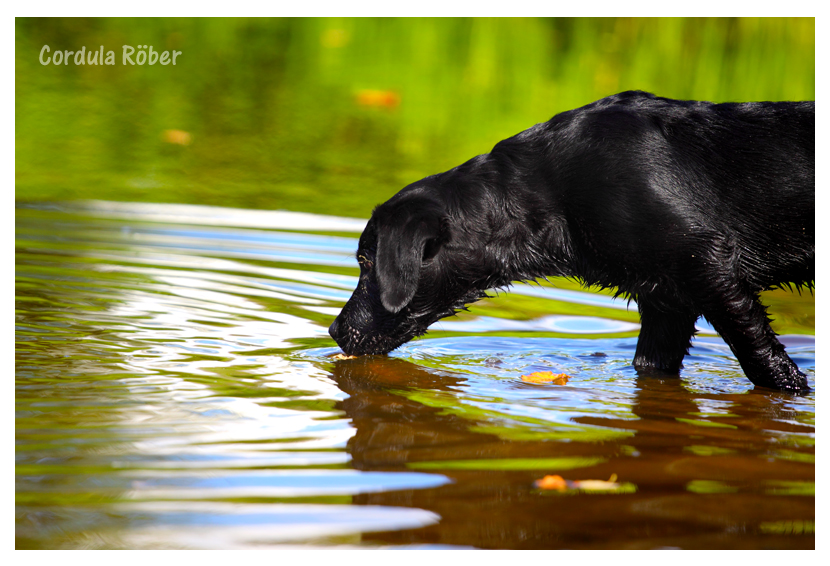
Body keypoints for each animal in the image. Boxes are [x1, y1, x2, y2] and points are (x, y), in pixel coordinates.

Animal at [328, 92, 816, 394]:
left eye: (366, 261)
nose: (334, 330)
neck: (547, 192)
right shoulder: (666, 302)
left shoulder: (709, 269)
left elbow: (766, 361)